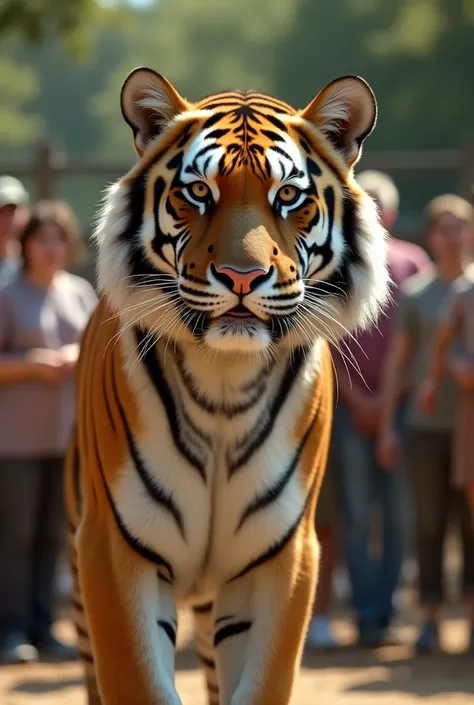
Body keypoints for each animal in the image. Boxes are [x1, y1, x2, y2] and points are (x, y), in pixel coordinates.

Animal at [65, 67, 388, 704]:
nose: (243, 276)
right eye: (198, 192)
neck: (224, 380)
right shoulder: (113, 549)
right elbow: (140, 684)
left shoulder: (282, 557)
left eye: (287, 196)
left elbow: (260, 684)